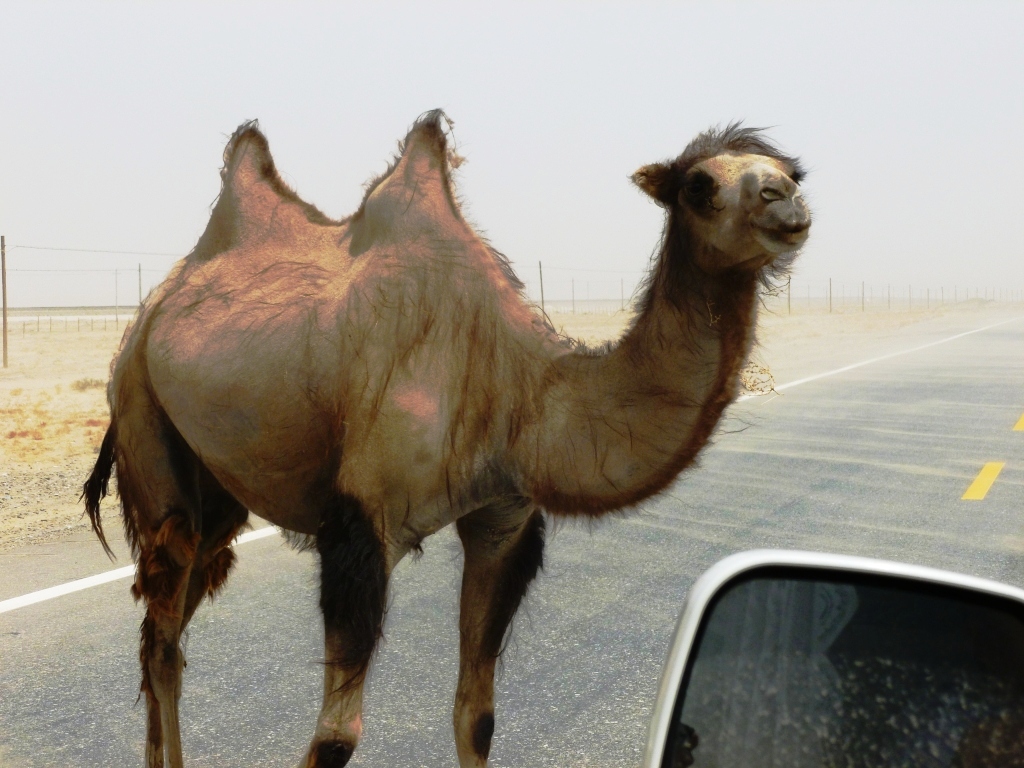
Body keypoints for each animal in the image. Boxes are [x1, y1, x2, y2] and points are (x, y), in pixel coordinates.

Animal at [81, 109, 806, 768]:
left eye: (793, 171)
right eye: (700, 186)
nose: (787, 202)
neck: (519, 385)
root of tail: (152, 310)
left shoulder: (502, 520)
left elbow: (476, 716)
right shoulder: (362, 525)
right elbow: (335, 738)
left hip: (220, 490)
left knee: (169, 630)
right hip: (144, 414)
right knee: (162, 635)